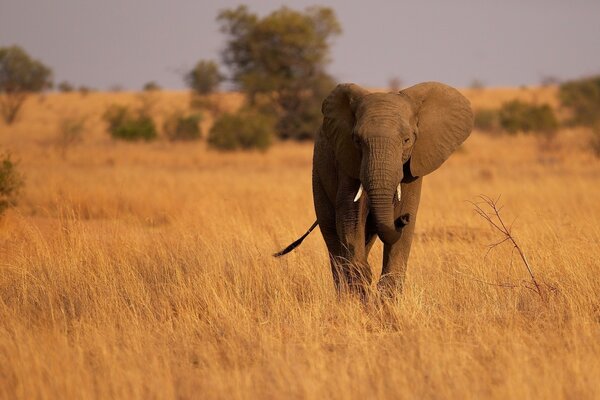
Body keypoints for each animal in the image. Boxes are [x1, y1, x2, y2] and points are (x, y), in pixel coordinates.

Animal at [274, 81, 472, 296]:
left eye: (407, 140)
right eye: (357, 140)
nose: (402, 220)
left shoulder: (414, 164)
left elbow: (404, 220)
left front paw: (385, 297)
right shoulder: (348, 159)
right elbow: (350, 216)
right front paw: (362, 281)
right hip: (318, 174)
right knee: (332, 234)